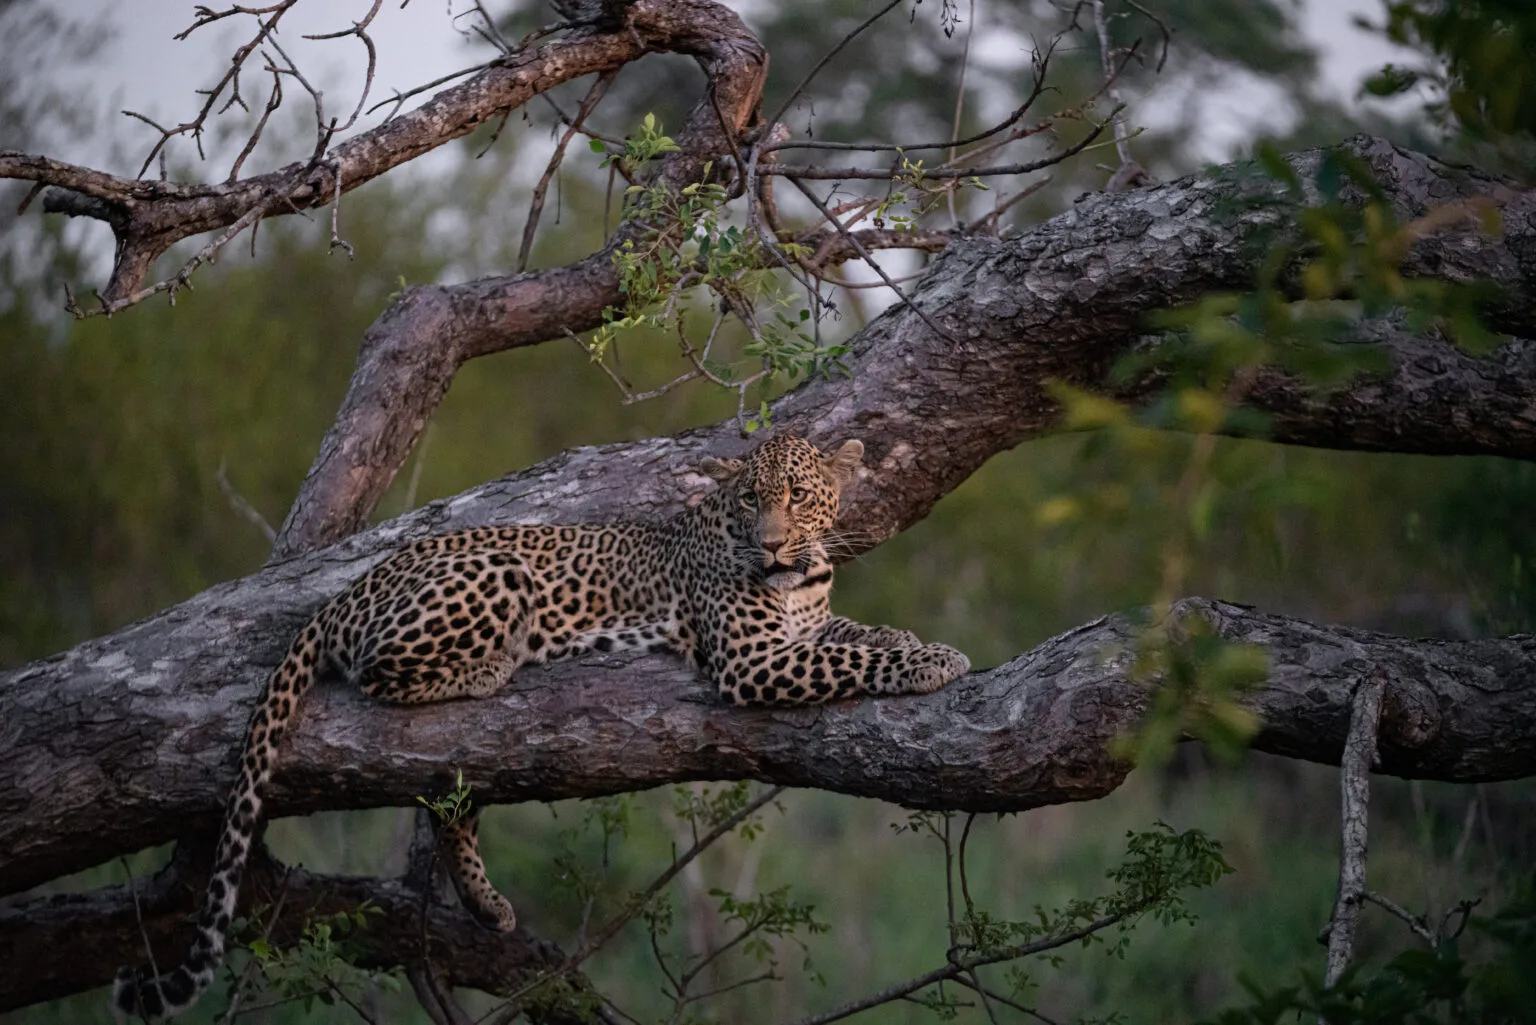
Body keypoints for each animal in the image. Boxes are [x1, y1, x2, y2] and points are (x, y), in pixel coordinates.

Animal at [112, 435, 970, 1020]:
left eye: (797, 494)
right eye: (749, 501)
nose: (772, 542)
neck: (800, 576)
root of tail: (348, 588)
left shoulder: (805, 629)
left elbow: (862, 634)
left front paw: (923, 642)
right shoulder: (752, 659)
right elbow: (850, 661)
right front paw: (934, 663)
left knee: (450, 805)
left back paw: (489, 906)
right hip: (494, 575)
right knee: (385, 675)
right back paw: (494, 665)